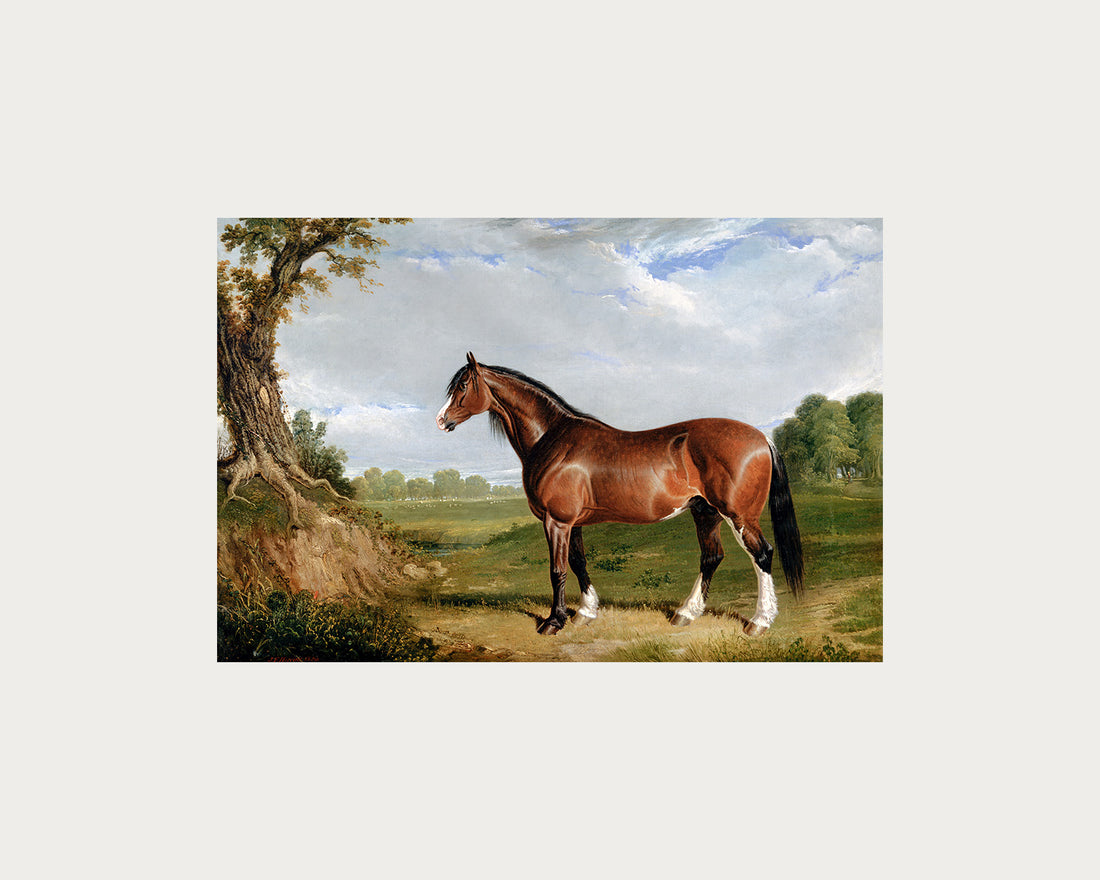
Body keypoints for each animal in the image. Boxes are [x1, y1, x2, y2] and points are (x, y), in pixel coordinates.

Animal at [435, 353, 804, 636]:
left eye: (463, 385)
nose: (441, 421)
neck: (553, 439)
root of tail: (762, 438)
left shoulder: (557, 522)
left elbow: (557, 570)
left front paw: (554, 622)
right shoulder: (572, 523)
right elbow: (578, 563)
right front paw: (585, 613)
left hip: (739, 515)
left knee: (762, 555)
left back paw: (759, 622)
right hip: (706, 512)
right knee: (711, 557)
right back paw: (685, 614)